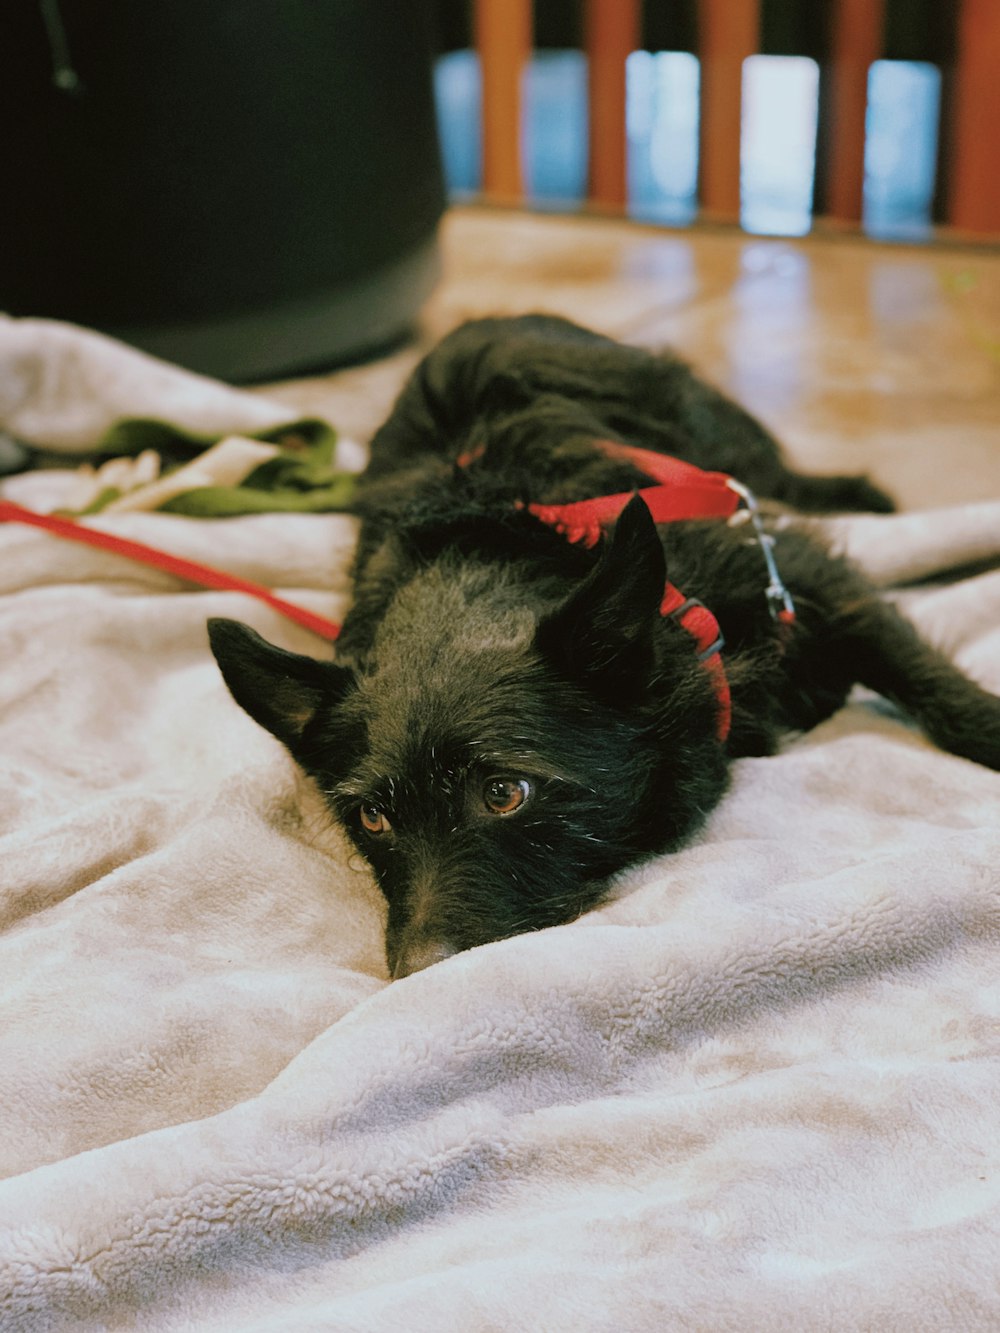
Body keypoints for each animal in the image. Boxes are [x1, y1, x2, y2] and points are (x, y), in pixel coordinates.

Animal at [209, 315, 1000, 975]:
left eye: (504, 793)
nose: (415, 975)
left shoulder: (801, 576)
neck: (491, 551)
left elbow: (928, 682)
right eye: (372, 818)